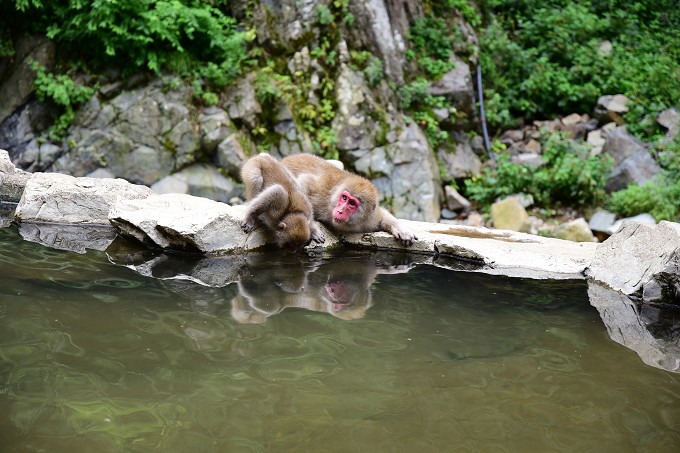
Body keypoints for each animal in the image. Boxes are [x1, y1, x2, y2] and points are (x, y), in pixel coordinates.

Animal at [280, 154, 418, 245]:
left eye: (352, 203)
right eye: (344, 198)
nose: (340, 211)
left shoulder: (368, 219)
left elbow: (381, 217)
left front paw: (401, 229)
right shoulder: (322, 199)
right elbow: (303, 183)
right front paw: (313, 229)